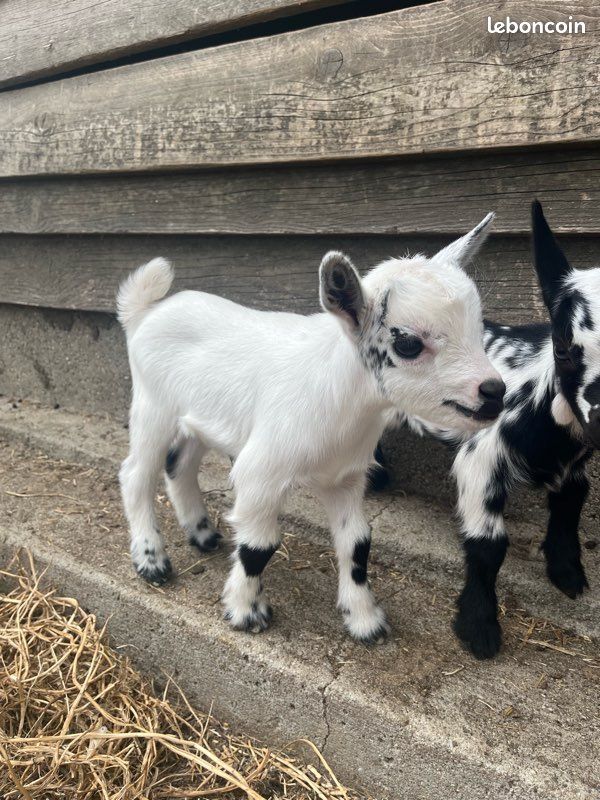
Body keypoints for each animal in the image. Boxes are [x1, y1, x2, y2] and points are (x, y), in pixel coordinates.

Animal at [117, 215, 505, 643]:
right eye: (407, 344)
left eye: (479, 330)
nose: (494, 392)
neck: (340, 397)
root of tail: (144, 311)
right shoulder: (260, 473)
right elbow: (258, 547)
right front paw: (245, 612)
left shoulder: (346, 478)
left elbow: (358, 543)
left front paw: (364, 620)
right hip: (152, 405)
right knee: (136, 474)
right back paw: (151, 560)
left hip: (198, 418)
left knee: (179, 466)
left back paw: (202, 534)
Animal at [372, 201, 597, 658]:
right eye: (564, 347)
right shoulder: (481, 459)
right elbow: (488, 546)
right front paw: (479, 629)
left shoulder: (576, 467)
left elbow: (570, 509)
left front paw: (567, 574)